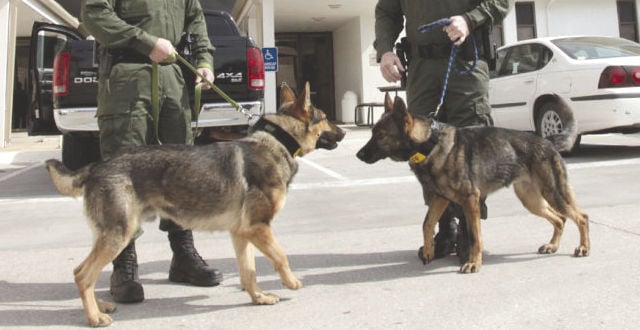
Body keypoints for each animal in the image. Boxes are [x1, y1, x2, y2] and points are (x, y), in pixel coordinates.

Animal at [45, 83, 344, 328]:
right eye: (325, 118)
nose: (342, 131)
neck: (276, 141)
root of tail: (96, 166)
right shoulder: (259, 228)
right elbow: (281, 256)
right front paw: (291, 282)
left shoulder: (242, 233)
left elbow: (248, 272)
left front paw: (258, 297)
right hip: (120, 234)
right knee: (83, 275)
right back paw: (94, 317)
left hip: (112, 234)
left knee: (83, 273)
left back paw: (100, 306)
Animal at [356, 94, 592, 274]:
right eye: (372, 133)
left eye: (381, 136)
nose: (358, 155)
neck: (430, 144)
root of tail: (547, 140)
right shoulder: (440, 198)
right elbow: (427, 224)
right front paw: (430, 250)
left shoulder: (470, 200)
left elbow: (475, 236)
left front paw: (473, 263)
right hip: (532, 200)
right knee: (560, 219)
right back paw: (553, 245)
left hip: (553, 194)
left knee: (581, 217)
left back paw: (583, 248)